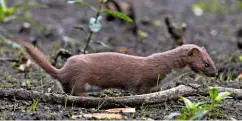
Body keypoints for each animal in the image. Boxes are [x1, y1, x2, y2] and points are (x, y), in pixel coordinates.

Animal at [12, 39, 217, 95]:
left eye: (213, 61)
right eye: (206, 63)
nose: (215, 74)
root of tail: (64, 69)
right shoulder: (147, 79)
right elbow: (142, 89)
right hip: (80, 77)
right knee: (74, 90)